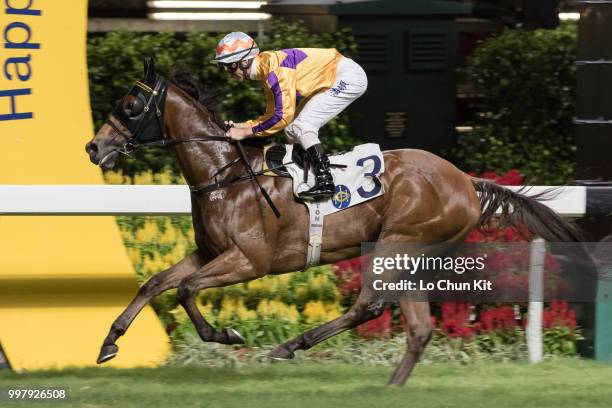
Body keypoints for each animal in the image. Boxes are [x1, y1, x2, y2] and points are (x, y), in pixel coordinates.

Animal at [85, 59, 584, 384]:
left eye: (131, 105)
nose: (94, 147)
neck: (224, 174)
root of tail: (465, 180)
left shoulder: (249, 261)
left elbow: (186, 290)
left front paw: (224, 333)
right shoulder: (210, 252)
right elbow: (156, 283)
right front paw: (109, 342)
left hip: (397, 242)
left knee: (369, 306)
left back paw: (289, 347)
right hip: (411, 255)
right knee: (415, 327)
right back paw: (385, 385)